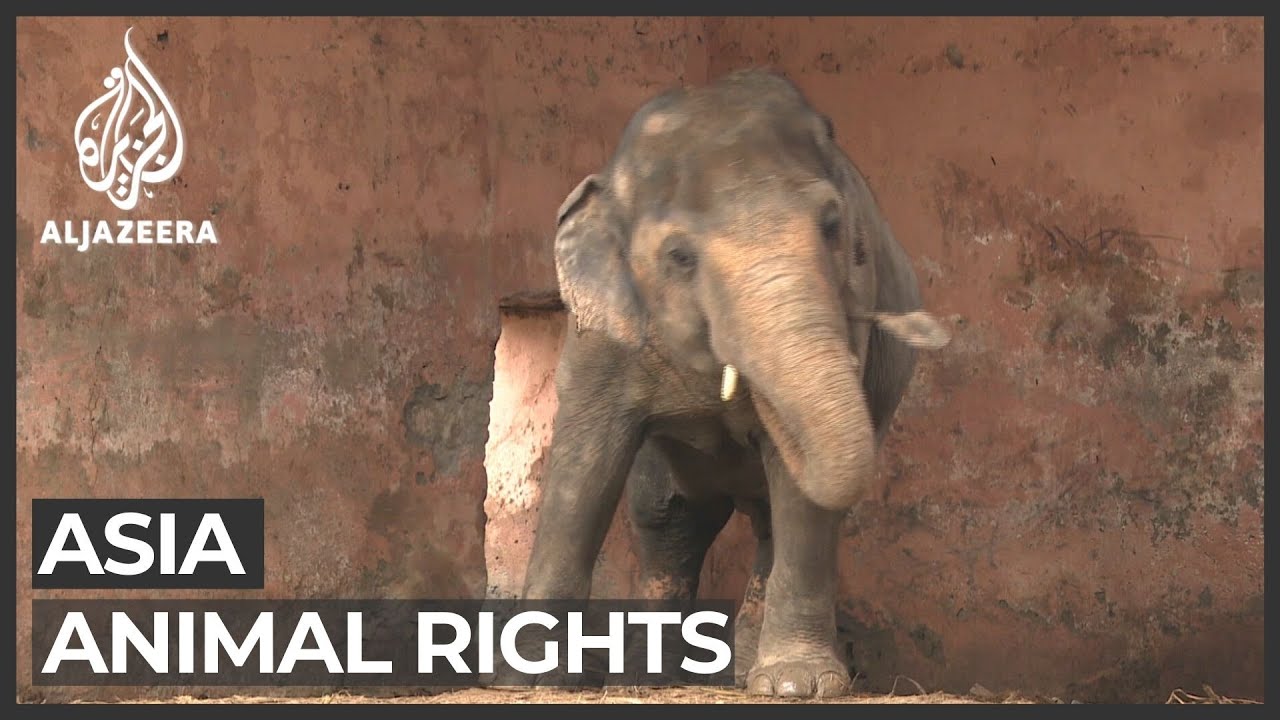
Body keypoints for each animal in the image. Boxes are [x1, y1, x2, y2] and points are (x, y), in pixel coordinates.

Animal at [509, 69, 950, 698]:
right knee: (668, 514)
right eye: (679, 256)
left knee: (767, 520)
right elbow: (585, 465)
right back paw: (649, 676)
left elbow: (798, 490)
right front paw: (529, 678)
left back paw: (744, 673)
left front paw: (797, 686)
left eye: (833, 225)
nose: (930, 328)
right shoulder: (600, 330)